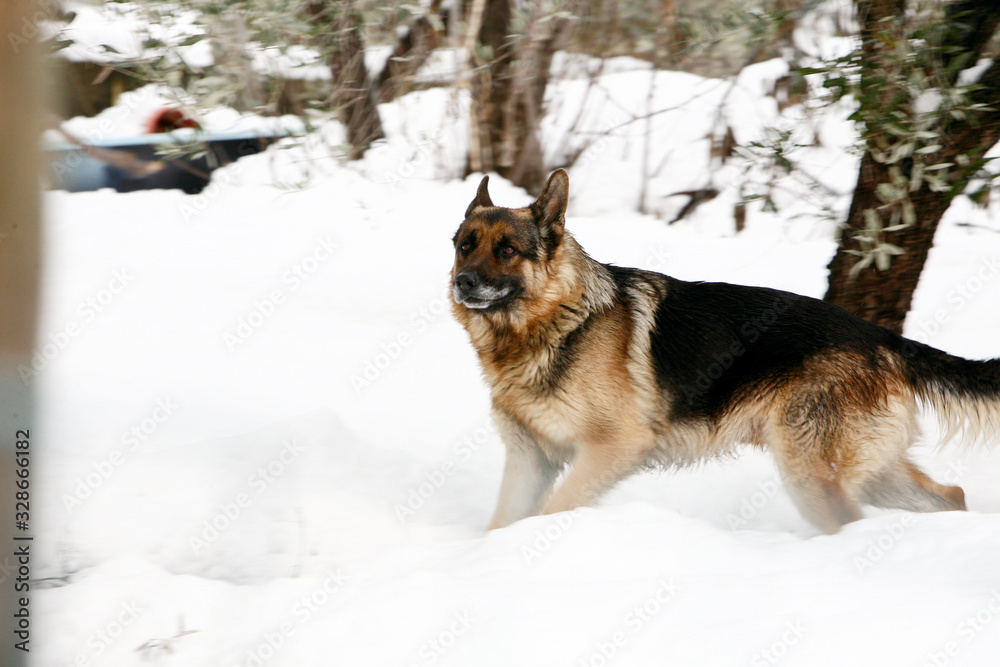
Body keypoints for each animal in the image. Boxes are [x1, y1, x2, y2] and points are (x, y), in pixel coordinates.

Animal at [454, 170, 1000, 536]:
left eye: (507, 250)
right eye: (464, 245)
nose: (463, 283)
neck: (552, 323)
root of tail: (880, 337)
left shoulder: (613, 448)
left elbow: (553, 512)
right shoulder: (530, 460)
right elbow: (503, 522)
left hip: (813, 476)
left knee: (853, 522)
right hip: (872, 473)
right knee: (951, 497)